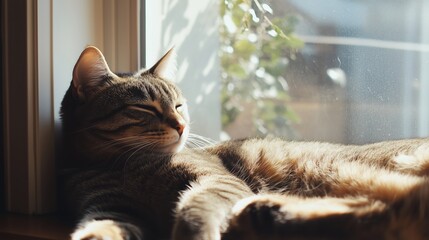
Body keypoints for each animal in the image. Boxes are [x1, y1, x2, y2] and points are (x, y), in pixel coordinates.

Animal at [60, 46, 428, 239]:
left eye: (178, 106)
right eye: (144, 109)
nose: (182, 125)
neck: (121, 166)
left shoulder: (219, 180)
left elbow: (194, 209)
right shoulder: (111, 207)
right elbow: (101, 229)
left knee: (393, 207)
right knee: (382, 209)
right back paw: (270, 214)